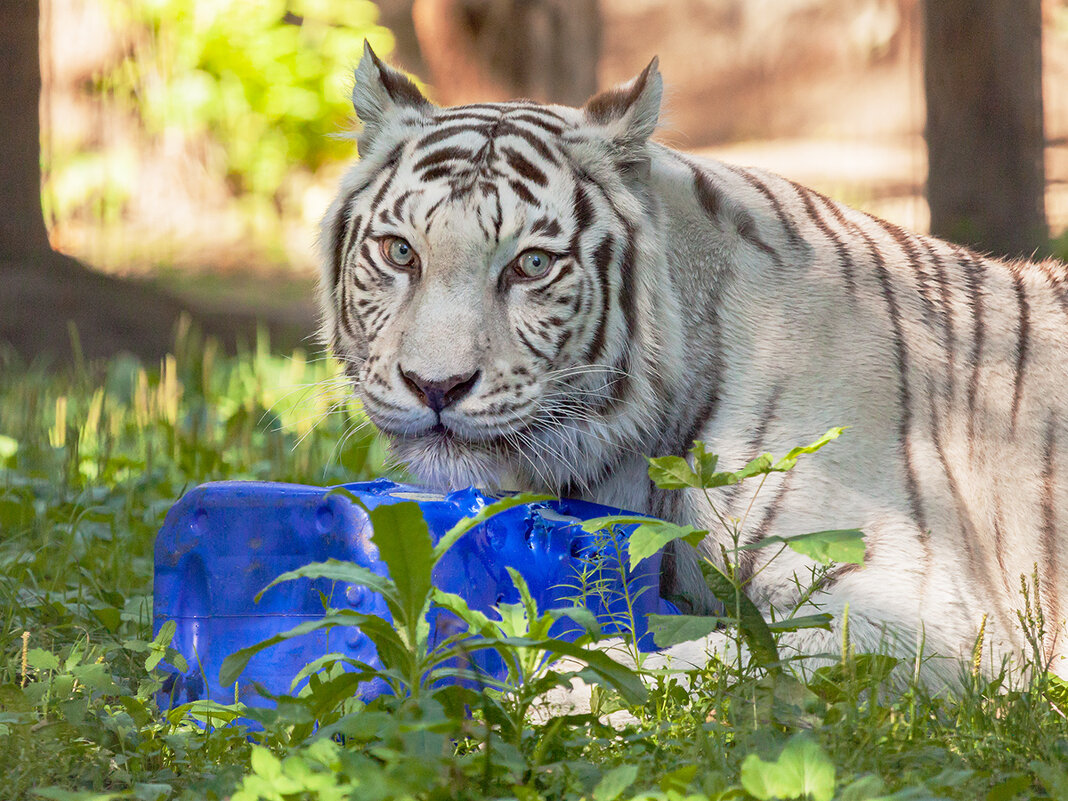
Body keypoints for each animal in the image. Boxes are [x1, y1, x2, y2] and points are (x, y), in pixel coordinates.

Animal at [318, 42, 1068, 683]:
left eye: (531, 264)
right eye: (400, 252)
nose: (436, 386)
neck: (624, 453)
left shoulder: (905, 610)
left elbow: (691, 665)